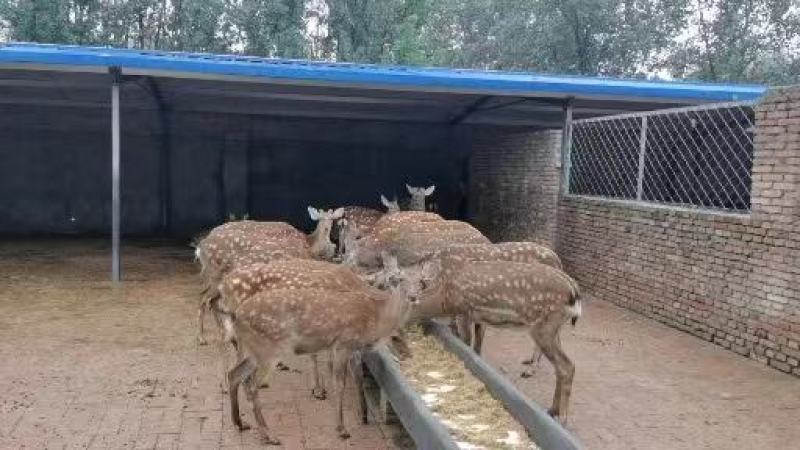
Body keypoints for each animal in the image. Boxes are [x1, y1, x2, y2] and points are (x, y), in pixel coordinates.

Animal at [225, 275, 418, 444]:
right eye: (395, 337)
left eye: (406, 333)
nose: (408, 354)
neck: (372, 323)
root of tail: (237, 316)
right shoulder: (343, 344)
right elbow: (339, 384)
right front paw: (342, 429)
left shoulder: (335, 347)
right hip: (269, 349)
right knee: (251, 386)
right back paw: (269, 435)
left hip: (254, 351)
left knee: (233, 373)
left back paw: (240, 423)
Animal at [407, 258, 582, 423]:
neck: (445, 297)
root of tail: (574, 293)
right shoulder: (480, 318)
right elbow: (477, 349)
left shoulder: (464, 311)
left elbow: (465, 344)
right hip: (554, 328)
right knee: (560, 366)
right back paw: (552, 409)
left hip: (543, 326)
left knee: (567, 366)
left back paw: (562, 418)